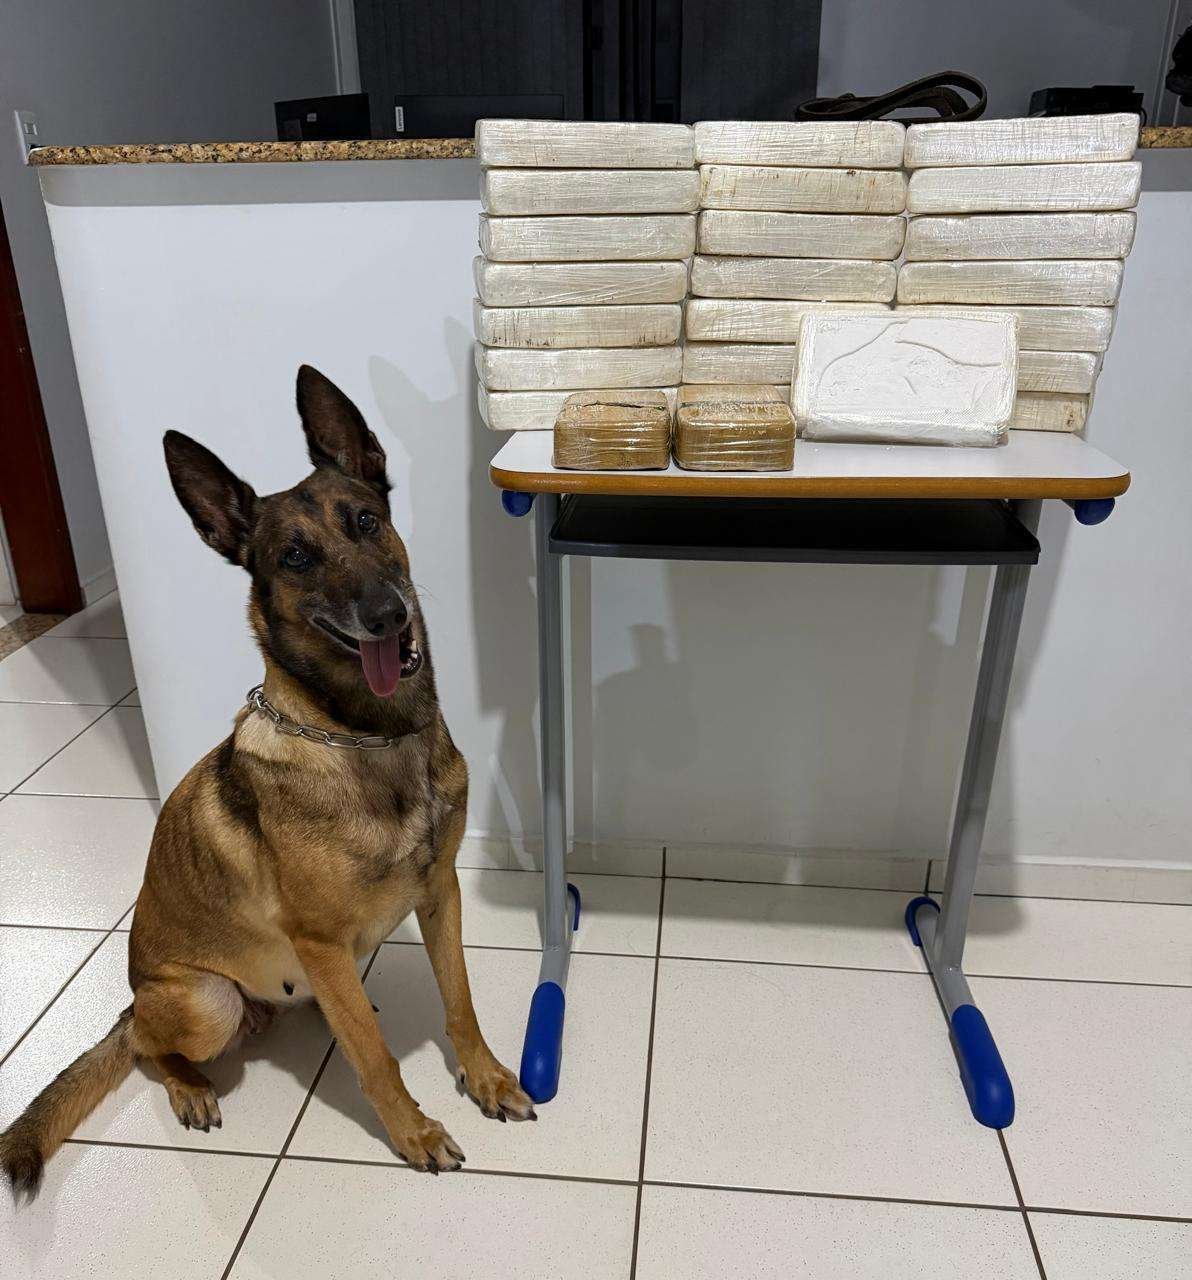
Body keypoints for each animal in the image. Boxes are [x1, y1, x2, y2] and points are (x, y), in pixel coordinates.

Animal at [1, 365, 533, 1197]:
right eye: (295, 559)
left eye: (365, 521)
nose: (387, 616)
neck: (365, 734)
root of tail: (132, 999)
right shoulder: (319, 937)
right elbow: (376, 1059)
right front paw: (413, 1132)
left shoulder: (440, 893)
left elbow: (461, 1003)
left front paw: (484, 1079)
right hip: (207, 1000)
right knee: (149, 1048)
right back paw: (189, 1085)